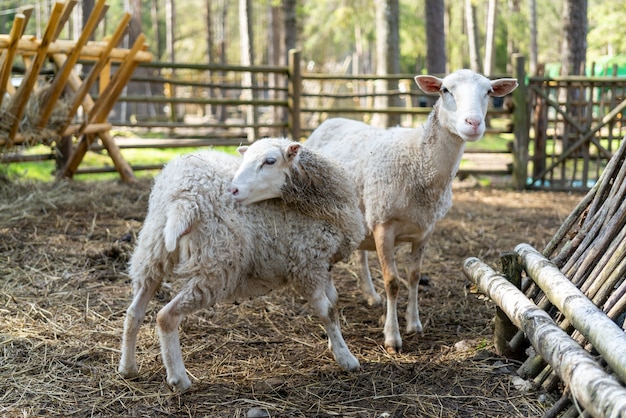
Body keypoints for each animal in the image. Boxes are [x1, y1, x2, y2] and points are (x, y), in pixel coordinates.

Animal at [117, 138, 364, 392]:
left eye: (270, 161)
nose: (233, 190)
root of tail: (182, 196)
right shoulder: (307, 264)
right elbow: (327, 311)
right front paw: (346, 358)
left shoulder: (323, 263)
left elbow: (335, 301)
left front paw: (334, 344)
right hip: (215, 266)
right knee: (165, 316)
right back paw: (179, 379)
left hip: (152, 253)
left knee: (134, 312)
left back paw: (128, 368)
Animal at [304, 68, 516, 352]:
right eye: (445, 90)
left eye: (489, 92)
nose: (473, 123)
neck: (418, 159)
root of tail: (328, 122)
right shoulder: (384, 225)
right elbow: (393, 281)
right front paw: (392, 337)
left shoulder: (426, 229)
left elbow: (414, 276)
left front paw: (414, 323)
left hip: (363, 210)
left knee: (360, 255)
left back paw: (370, 295)